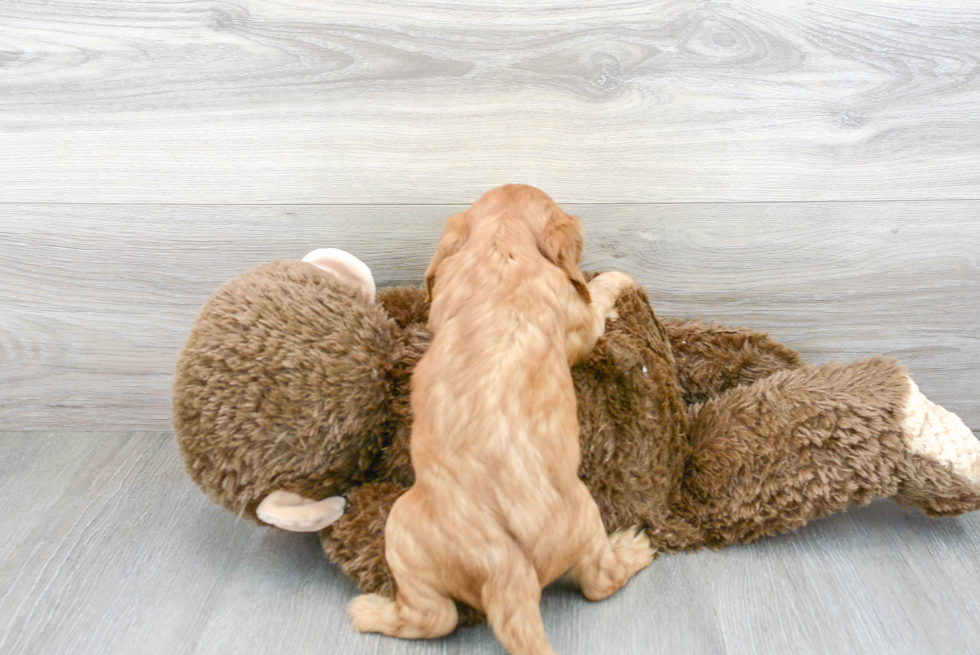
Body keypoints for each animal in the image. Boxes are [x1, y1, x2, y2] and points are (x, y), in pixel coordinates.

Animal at [348, 184, 656, 655]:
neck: (500, 248)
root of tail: (503, 569)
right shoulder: (579, 324)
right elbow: (595, 297)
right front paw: (618, 279)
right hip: (578, 517)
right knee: (597, 583)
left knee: (437, 617)